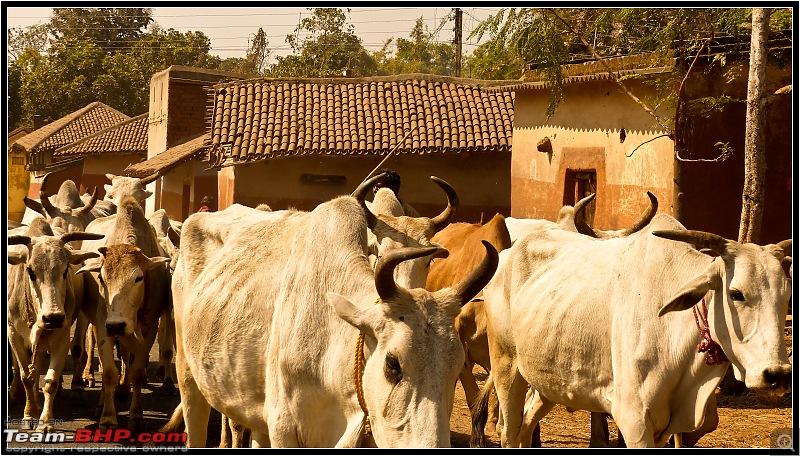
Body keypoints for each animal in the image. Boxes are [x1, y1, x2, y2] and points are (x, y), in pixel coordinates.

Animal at [478, 215, 792, 448]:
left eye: (786, 296)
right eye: (736, 293)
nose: (777, 375)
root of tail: (509, 252)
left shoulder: (664, 427)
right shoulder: (634, 419)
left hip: (548, 381)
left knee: (525, 427)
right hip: (507, 365)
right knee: (509, 432)